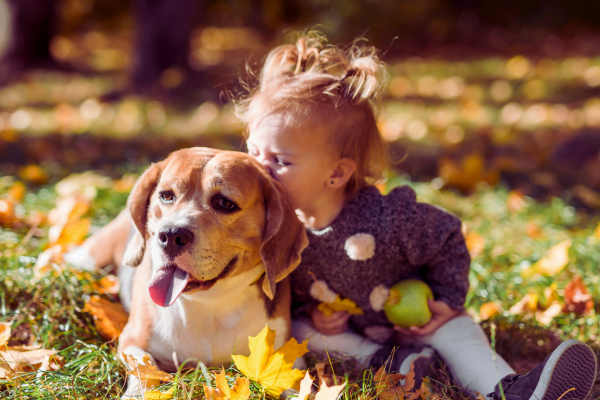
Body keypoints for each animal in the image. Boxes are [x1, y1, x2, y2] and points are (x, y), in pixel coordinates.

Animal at [70, 148, 310, 396]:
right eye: (166, 196)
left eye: (225, 203)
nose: (170, 235)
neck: (210, 304)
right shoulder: (131, 340)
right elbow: (145, 368)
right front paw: (136, 394)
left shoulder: (288, 354)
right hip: (89, 257)